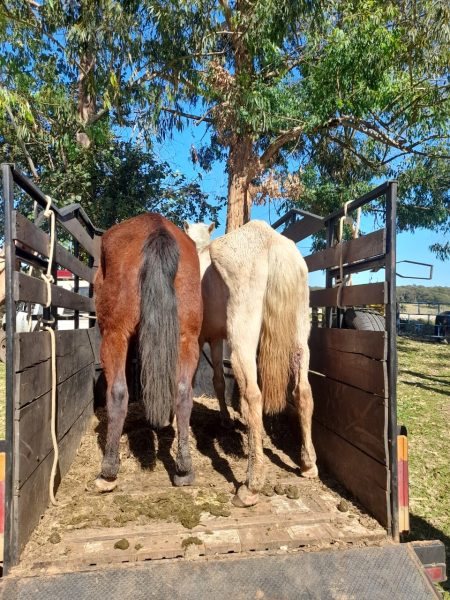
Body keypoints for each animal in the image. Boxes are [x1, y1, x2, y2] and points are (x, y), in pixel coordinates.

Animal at [94, 213, 201, 490]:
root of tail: (155, 227)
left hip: (114, 335)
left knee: (117, 392)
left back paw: (108, 469)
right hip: (187, 338)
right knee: (183, 392)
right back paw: (184, 469)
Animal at [185, 220, 318, 506]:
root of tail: (271, 242)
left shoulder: (201, 338)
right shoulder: (215, 339)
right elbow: (218, 380)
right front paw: (224, 419)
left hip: (242, 339)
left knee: (253, 396)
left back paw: (250, 486)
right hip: (301, 334)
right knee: (303, 392)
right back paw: (308, 465)